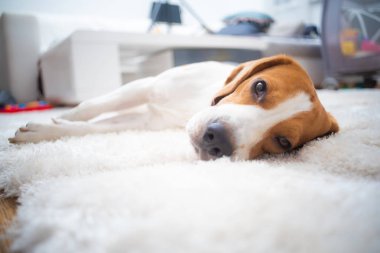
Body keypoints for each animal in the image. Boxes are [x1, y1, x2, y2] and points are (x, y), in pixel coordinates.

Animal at [9, 55, 338, 160]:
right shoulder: (146, 86)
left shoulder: (145, 121)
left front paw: (46, 130)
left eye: (283, 142)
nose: (218, 139)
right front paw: (55, 119)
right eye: (260, 87)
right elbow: (90, 107)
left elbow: (93, 128)